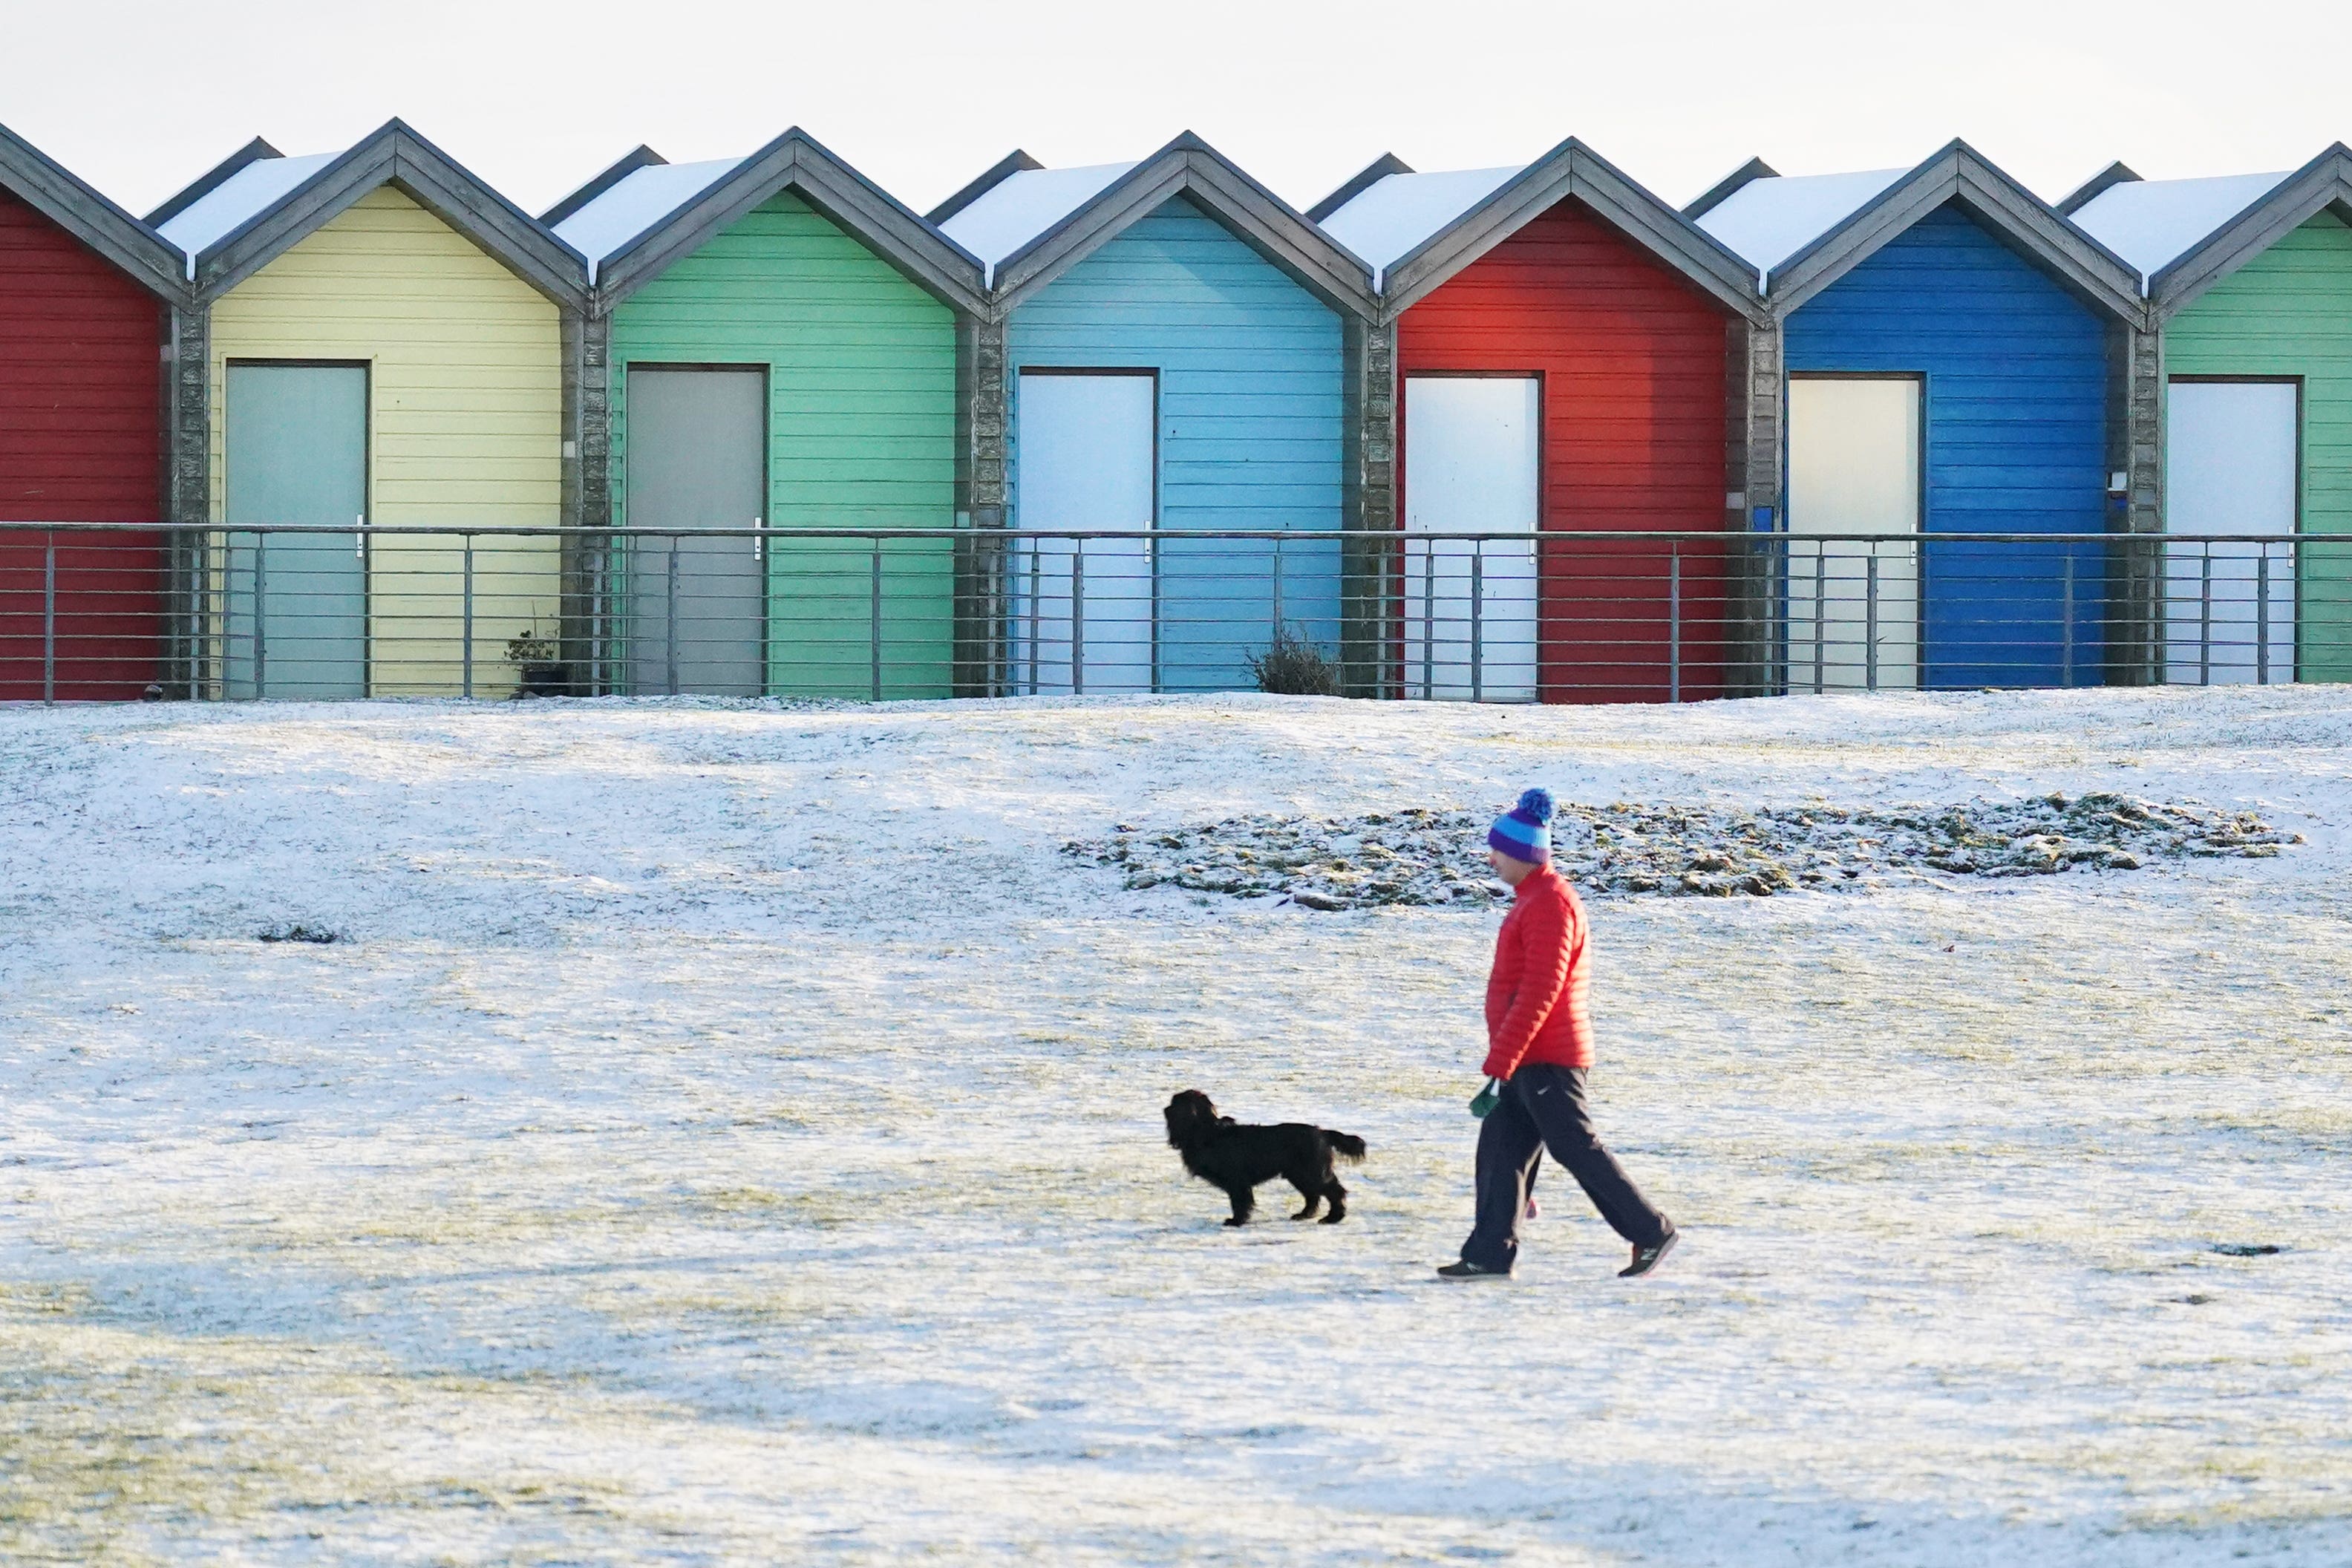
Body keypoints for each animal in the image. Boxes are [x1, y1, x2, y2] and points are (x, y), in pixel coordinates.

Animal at [1157, 1091, 1364, 1222]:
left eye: (1175, 1103)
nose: (1165, 1109)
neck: (1208, 1133)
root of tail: (1323, 1132)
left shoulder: (1237, 1180)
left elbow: (1240, 1202)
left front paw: (1236, 1221)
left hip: (1311, 1172)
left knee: (1335, 1192)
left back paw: (1333, 1218)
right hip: (1299, 1175)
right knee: (1313, 1196)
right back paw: (1303, 1215)